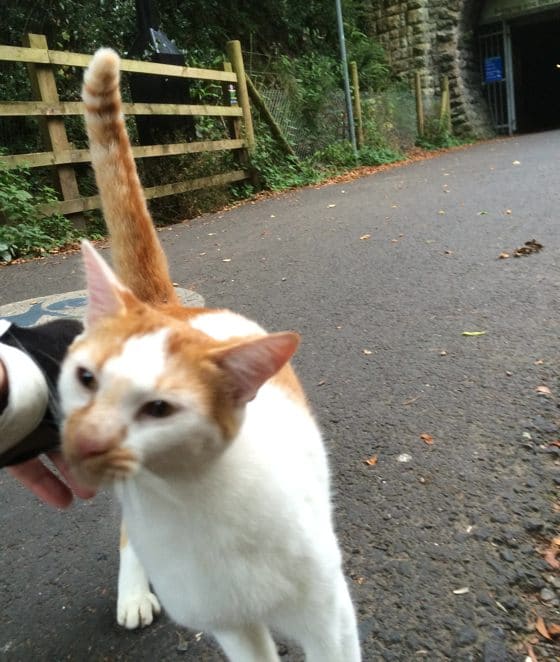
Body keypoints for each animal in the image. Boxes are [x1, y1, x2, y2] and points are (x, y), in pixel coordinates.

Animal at [59, 49, 360, 660]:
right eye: (85, 378)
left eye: (160, 409)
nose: (87, 440)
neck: (191, 502)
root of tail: (172, 306)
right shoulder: (231, 624)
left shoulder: (329, 614)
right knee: (127, 533)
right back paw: (134, 592)